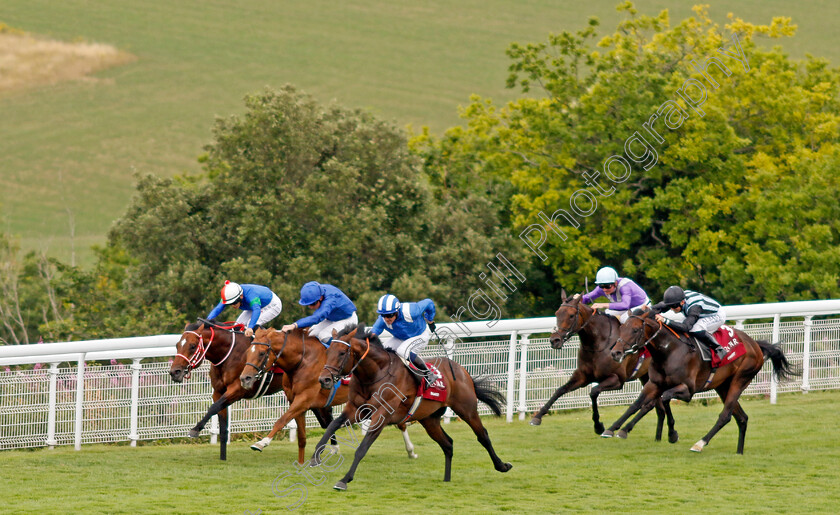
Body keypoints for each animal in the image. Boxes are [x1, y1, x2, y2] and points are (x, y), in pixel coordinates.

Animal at [240, 328, 416, 466]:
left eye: (262, 353)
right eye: (247, 352)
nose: (244, 378)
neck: (302, 362)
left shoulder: (303, 400)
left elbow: (281, 420)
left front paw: (262, 442)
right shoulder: (297, 402)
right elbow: (302, 436)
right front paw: (302, 463)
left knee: (401, 422)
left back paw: (410, 450)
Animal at [308, 326, 512, 492]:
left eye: (342, 353)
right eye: (328, 352)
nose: (324, 380)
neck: (375, 374)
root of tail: (462, 370)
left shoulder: (381, 415)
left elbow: (362, 448)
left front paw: (344, 480)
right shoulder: (356, 409)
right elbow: (333, 425)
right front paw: (315, 457)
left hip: (467, 409)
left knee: (482, 435)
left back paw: (502, 466)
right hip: (429, 419)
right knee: (448, 443)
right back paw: (447, 479)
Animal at [528, 296, 680, 442]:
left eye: (571, 315)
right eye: (557, 313)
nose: (554, 340)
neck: (599, 343)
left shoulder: (617, 380)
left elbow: (594, 392)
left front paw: (598, 426)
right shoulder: (582, 376)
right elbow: (560, 390)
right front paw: (537, 416)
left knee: (653, 404)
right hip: (648, 377)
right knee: (658, 407)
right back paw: (659, 438)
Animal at [604, 310, 796, 452]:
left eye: (635, 330)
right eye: (622, 329)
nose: (615, 353)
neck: (669, 350)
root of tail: (755, 345)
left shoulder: (687, 390)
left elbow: (664, 399)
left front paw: (672, 434)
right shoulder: (655, 384)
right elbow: (636, 404)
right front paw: (615, 429)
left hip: (740, 379)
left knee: (725, 416)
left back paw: (700, 443)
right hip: (723, 386)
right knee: (741, 417)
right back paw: (739, 452)